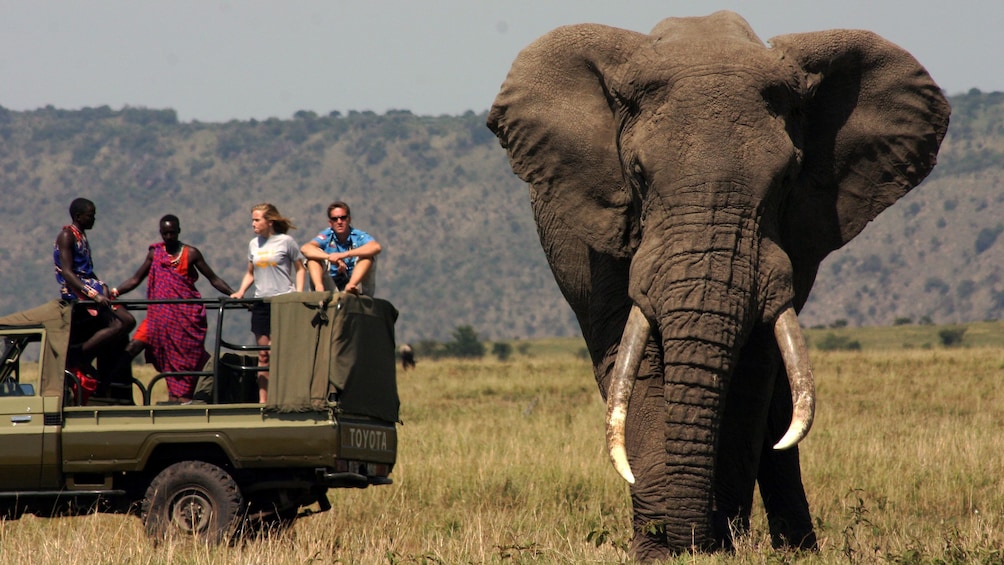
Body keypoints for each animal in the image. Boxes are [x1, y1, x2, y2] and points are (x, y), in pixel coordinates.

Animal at [485, 9, 947, 561]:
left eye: (787, 180)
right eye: (638, 176)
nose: (692, 542)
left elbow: (749, 371)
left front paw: (717, 548)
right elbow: (634, 358)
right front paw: (660, 551)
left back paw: (797, 549)